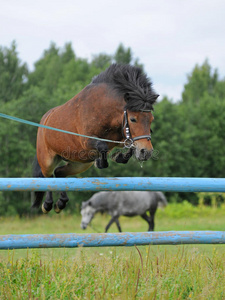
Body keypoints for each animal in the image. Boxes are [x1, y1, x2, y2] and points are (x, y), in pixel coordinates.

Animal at [32, 63, 159, 213]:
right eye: (133, 119)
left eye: (151, 119)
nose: (146, 152)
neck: (104, 109)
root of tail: (44, 120)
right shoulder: (86, 141)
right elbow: (102, 146)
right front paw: (101, 162)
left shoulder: (121, 138)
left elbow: (129, 146)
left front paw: (118, 157)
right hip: (47, 160)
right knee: (48, 177)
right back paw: (47, 204)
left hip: (80, 163)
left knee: (59, 173)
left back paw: (61, 203)